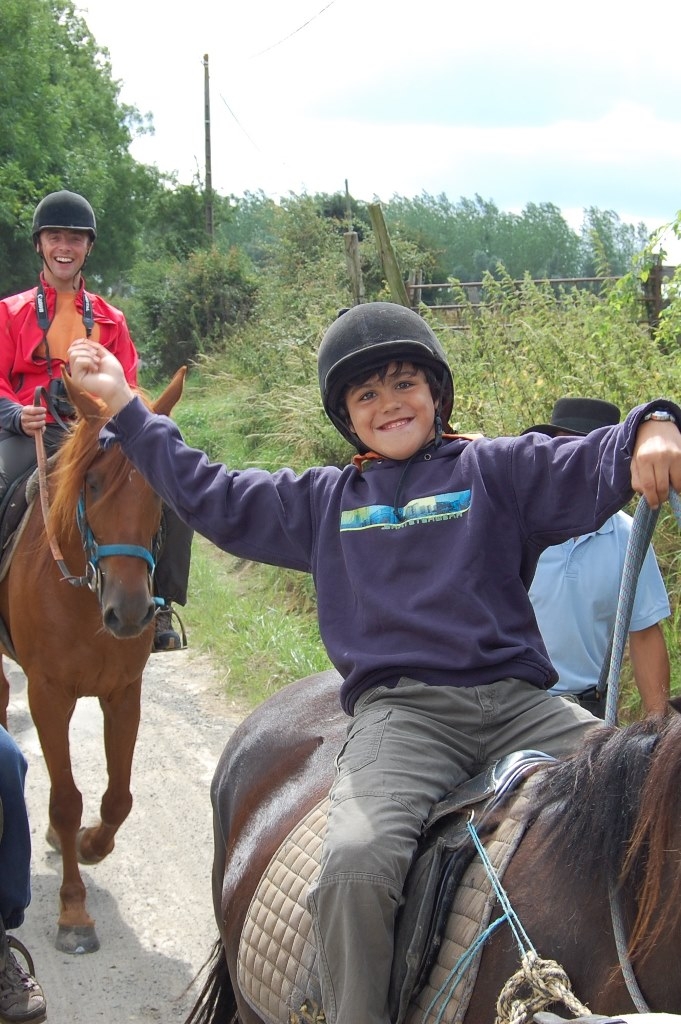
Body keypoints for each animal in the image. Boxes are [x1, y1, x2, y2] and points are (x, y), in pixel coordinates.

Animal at [0, 366, 184, 950]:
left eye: (161, 490)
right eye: (93, 483)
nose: (129, 614)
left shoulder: (123, 694)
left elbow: (117, 798)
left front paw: (86, 845)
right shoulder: (47, 696)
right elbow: (65, 799)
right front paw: (74, 911)